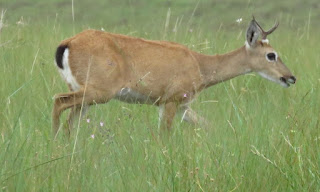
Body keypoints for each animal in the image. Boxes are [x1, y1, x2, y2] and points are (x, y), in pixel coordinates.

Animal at [52, 16, 296, 136]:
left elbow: (208, 125)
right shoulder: (171, 101)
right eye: (271, 55)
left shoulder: (181, 107)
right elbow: (165, 136)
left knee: (69, 123)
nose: (291, 78)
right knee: (58, 101)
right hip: (98, 93)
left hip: (85, 97)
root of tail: (68, 43)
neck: (200, 64)